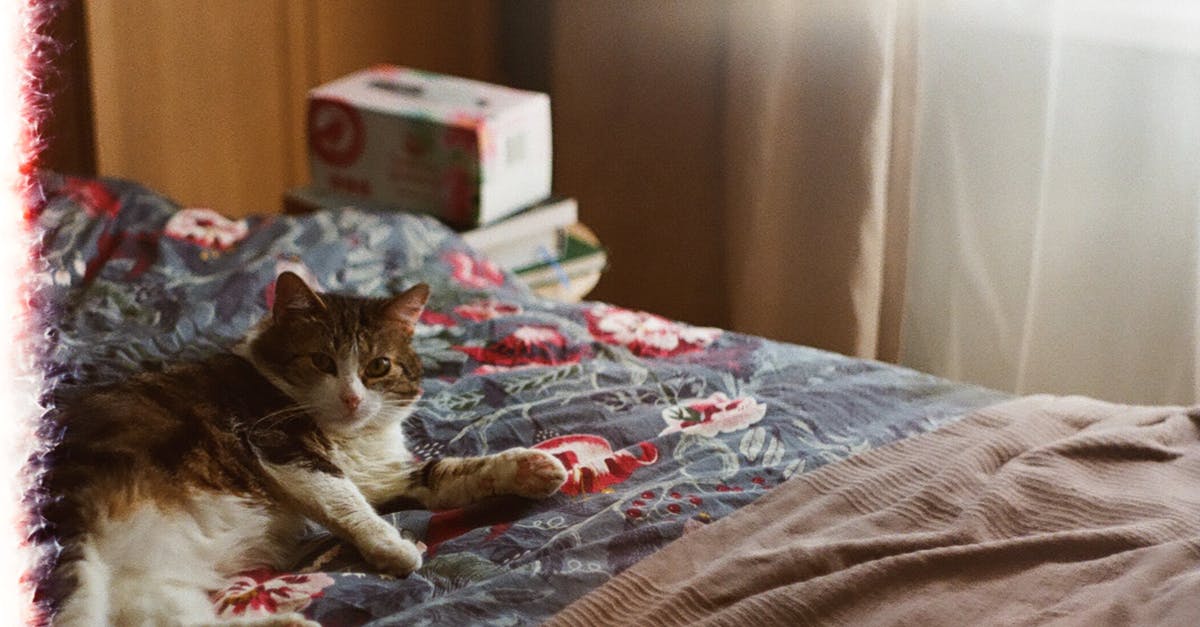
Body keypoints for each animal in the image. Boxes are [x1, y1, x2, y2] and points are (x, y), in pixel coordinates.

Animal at [39, 269, 568, 624]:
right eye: (321, 361)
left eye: (378, 366)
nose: (353, 398)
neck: (351, 435)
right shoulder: (280, 445)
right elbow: (345, 501)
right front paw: (393, 548)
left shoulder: (381, 474)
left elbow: (448, 474)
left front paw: (534, 468)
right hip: (69, 541)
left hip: (151, 585)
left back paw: (288, 623)